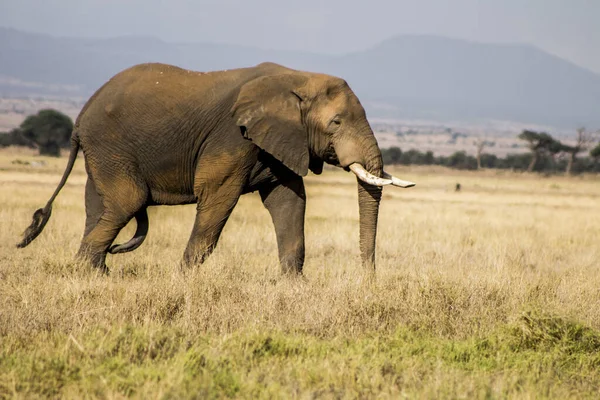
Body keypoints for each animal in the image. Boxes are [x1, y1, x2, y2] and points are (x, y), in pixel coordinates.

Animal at [16, 61, 414, 276]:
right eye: (335, 123)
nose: (368, 279)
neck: (296, 78)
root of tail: (80, 117)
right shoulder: (231, 138)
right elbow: (217, 199)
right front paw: (182, 281)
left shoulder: (281, 141)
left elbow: (289, 202)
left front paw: (294, 287)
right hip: (111, 145)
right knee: (127, 201)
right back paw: (87, 273)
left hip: (103, 153)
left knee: (98, 206)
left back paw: (94, 273)